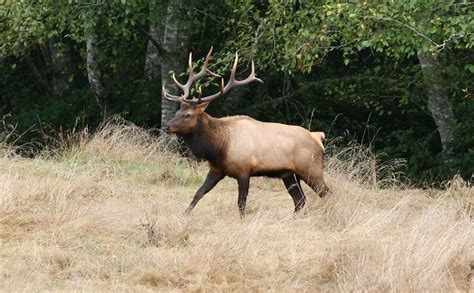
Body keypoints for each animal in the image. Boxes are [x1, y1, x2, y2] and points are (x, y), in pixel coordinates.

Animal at [161, 48, 328, 216]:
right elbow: (198, 193)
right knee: (300, 200)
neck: (218, 148)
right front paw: (184, 214)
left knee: (326, 193)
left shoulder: (244, 170)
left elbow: (241, 203)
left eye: (188, 115)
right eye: (177, 112)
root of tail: (318, 137)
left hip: (311, 169)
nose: (166, 126)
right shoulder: (216, 170)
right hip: (288, 174)